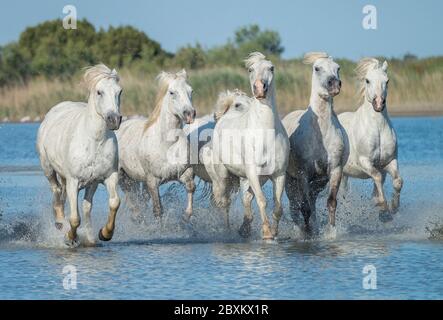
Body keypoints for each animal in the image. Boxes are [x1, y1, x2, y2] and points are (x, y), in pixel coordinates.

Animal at [36, 63, 122, 246]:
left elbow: (114, 202)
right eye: (99, 92)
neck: (94, 141)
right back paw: (60, 224)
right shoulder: (73, 181)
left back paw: (89, 238)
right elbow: (75, 218)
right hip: (48, 169)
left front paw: (105, 233)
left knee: (85, 206)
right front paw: (70, 238)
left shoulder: (108, 176)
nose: (114, 120)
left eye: (119, 91)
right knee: (56, 191)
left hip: (90, 183)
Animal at [117, 70, 197, 222]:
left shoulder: (185, 172)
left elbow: (190, 188)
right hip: (123, 176)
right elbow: (158, 210)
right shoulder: (152, 181)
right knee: (131, 198)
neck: (167, 144)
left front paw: (186, 215)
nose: (190, 114)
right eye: (172, 92)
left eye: (191, 91)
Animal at [205, 52, 292, 239]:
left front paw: (275, 232)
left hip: (253, 177)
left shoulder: (279, 174)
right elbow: (262, 200)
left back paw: (244, 228)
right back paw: (228, 230)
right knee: (225, 202)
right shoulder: (252, 172)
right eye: (251, 69)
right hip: (224, 176)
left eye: (271, 68)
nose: (260, 88)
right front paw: (266, 232)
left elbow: (278, 206)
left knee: (246, 198)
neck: (266, 134)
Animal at [282, 52, 346, 238]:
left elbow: (331, 202)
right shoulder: (303, 174)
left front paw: (330, 232)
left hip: (319, 181)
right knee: (295, 205)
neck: (320, 133)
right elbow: (304, 207)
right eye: (317, 68)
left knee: (313, 200)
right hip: (290, 180)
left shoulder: (335, 170)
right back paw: (300, 229)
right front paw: (307, 233)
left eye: (338, 67)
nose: (334, 84)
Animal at [340, 57, 402, 215]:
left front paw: (394, 206)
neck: (378, 129)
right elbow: (377, 176)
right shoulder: (365, 162)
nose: (378, 104)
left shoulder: (389, 161)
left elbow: (397, 181)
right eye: (367, 80)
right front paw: (382, 204)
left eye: (387, 81)